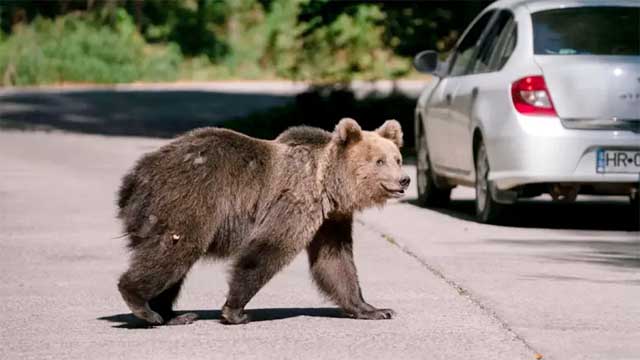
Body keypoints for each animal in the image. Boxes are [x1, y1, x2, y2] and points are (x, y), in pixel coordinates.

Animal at [116, 116, 410, 324]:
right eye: (379, 161)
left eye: (397, 158)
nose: (404, 179)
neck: (327, 186)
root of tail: (135, 177)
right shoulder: (295, 201)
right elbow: (268, 248)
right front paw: (235, 311)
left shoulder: (330, 220)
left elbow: (335, 261)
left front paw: (374, 309)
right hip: (189, 198)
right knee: (174, 251)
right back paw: (143, 305)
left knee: (175, 262)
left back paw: (172, 314)